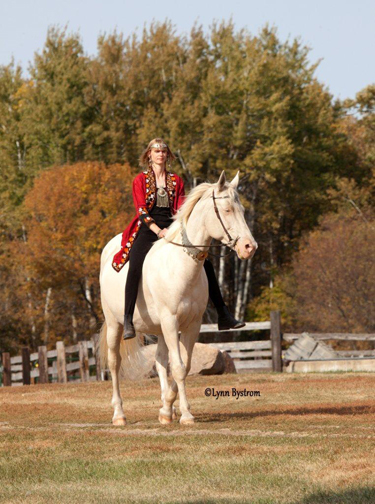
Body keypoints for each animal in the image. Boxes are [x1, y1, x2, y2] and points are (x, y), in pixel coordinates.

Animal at [99, 172, 258, 426]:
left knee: (159, 361)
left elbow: (184, 365)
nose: (249, 247)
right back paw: (119, 415)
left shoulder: (191, 325)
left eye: (242, 209)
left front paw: (168, 408)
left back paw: (166, 410)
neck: (180, 266)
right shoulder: (171, 322)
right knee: (115, 363)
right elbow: (179, 367)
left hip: (160, 330)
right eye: (226, 210)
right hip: (116, 324)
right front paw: (186, 414)